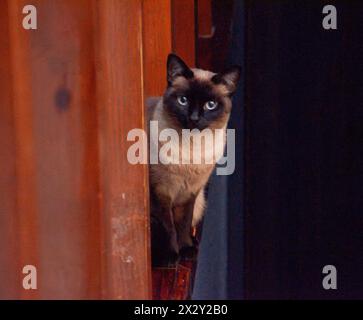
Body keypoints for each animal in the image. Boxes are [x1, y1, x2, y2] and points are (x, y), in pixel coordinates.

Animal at [148, 53, 242, 266]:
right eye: (183, 100)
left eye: (210, 105)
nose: (194, 118)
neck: (191, 150)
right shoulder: (160, 193)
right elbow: (168, 227)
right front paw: (171, 256)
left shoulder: (190, 192)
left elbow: (183, 223)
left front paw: (186, 250)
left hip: (200, 202)